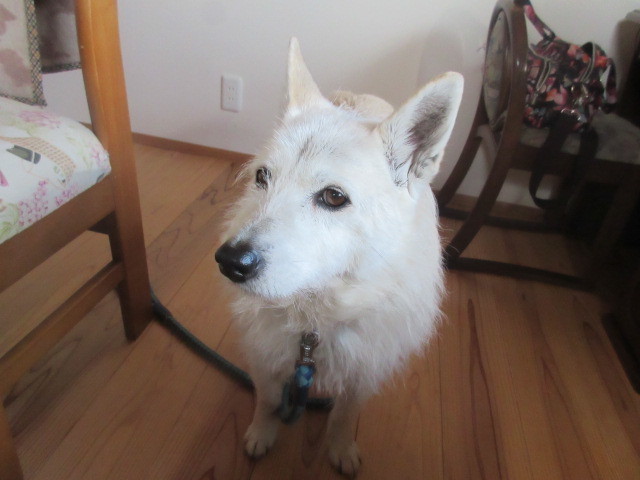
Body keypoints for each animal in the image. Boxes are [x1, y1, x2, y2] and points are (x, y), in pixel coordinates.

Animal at [215, 38, 463, 476]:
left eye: (333, 197)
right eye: (262, 177)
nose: (230, 262)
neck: (316, 317)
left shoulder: (364, 370)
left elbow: (346, 414)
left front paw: (341, 448)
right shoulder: (265, 357)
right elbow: (267, 400)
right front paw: (262, 433)